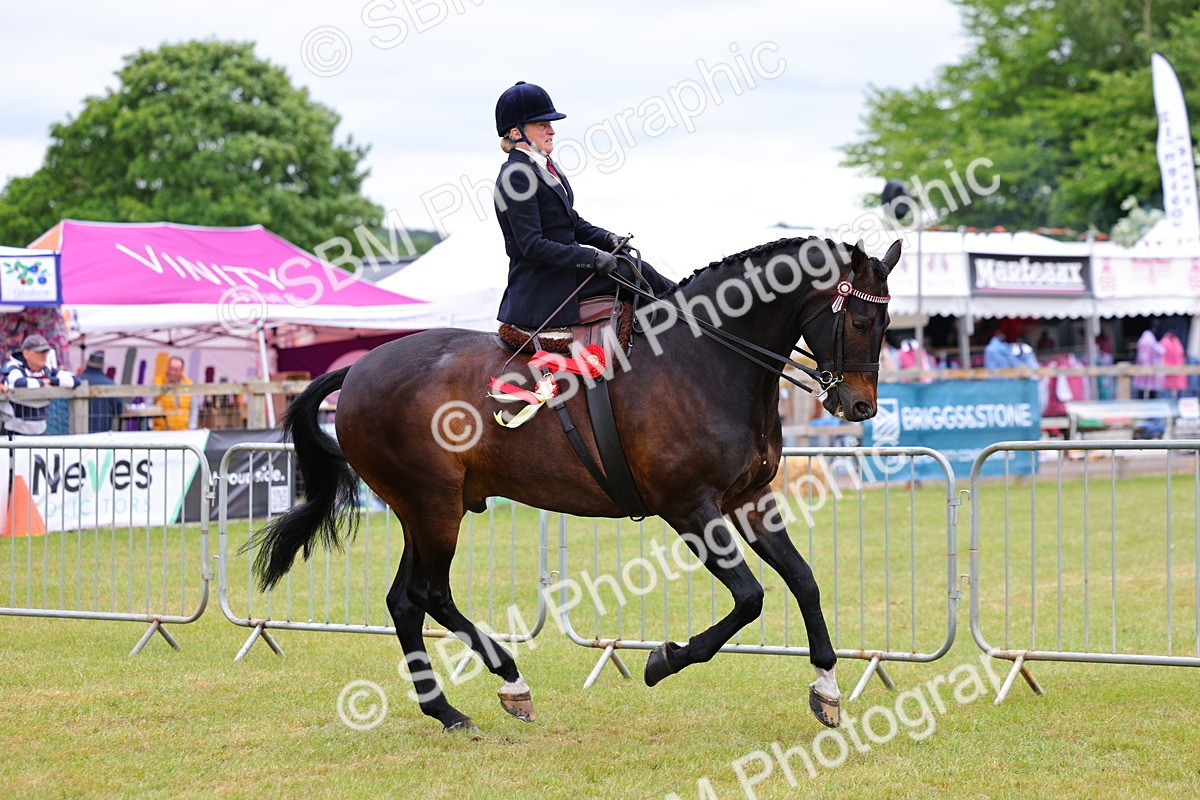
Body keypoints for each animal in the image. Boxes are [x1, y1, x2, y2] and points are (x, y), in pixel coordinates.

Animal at [252, 235, 900, 733]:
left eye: (888, 322)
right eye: (860, 319)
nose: (860, 406)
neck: (706, 362)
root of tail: (358, 368)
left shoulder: (750, 499)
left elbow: (804, 581)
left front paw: (827, 689)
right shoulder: (689, 507)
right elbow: (750, 596)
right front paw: (664, 660)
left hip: (421, 510)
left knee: (403, 601)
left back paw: (447, 711)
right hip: (434, 507)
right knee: (429, 594)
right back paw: (510, 680)